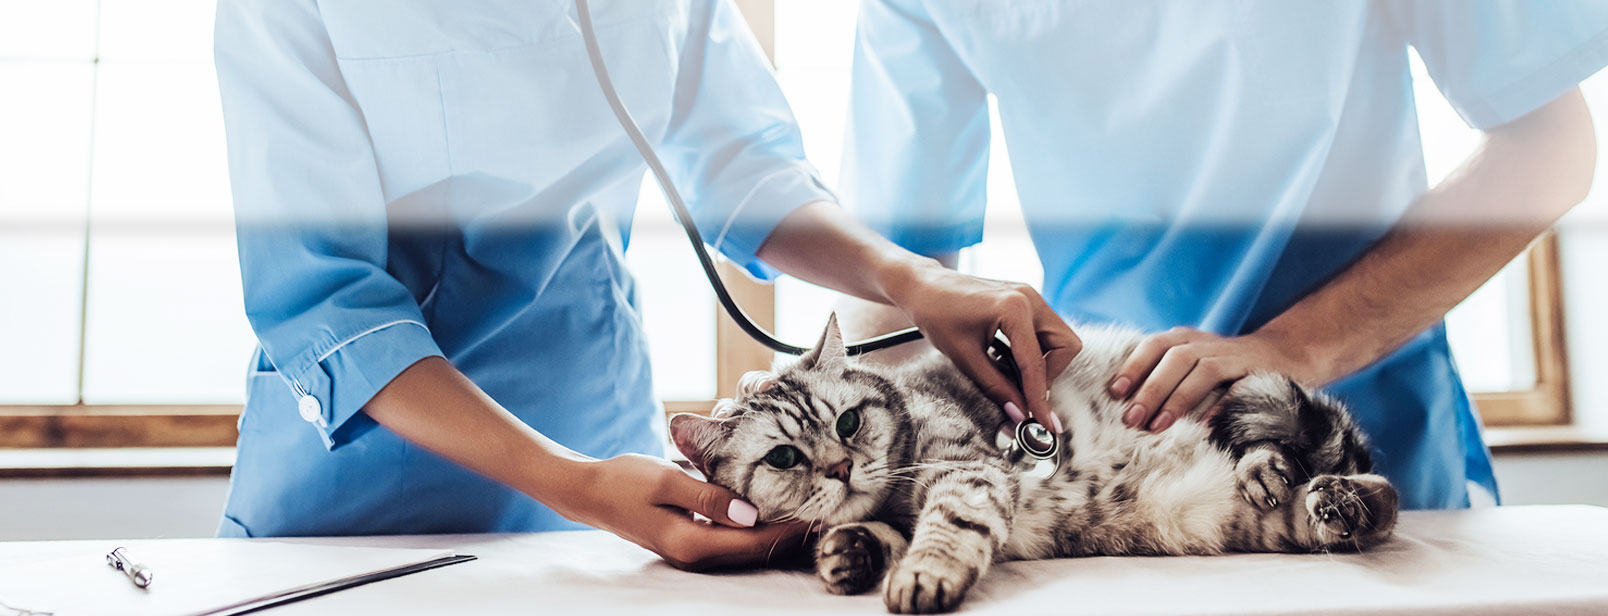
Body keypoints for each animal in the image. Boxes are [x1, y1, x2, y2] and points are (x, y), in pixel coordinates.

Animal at [665, 315, 1395, 614]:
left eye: (847, 422)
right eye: (785, 456)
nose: (841, 468)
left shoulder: (967, 473)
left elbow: (944, 530)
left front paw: (921, 577)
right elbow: (872, 536)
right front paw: (848, 553)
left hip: (1247, 412)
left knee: (1341, 461)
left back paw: (1281, 471)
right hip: (1219, 519)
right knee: (1363, 503)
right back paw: (1335, 503)